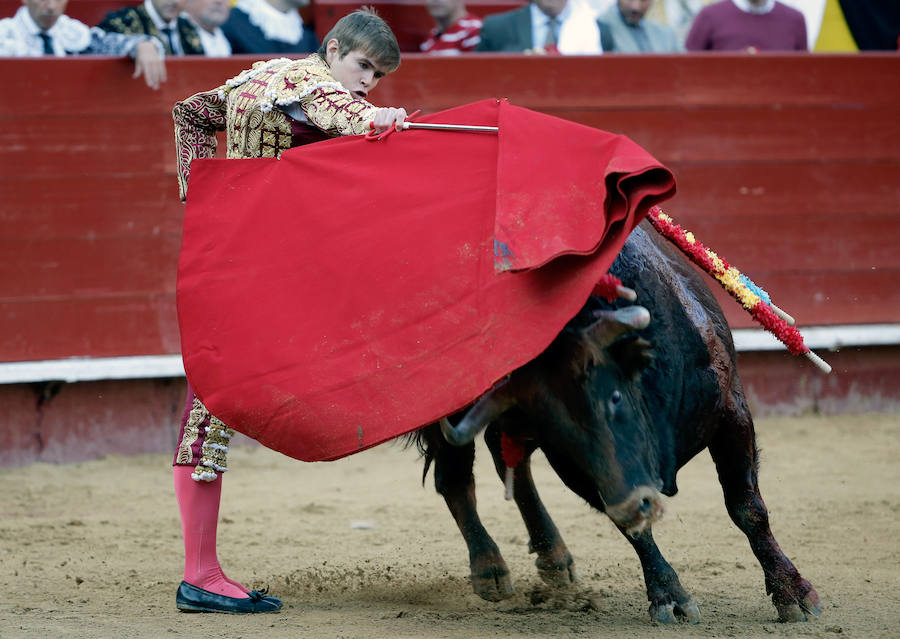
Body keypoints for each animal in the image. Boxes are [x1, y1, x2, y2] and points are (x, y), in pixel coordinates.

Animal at [416, 221, 824, 624]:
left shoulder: (731, 412)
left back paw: (553, 558)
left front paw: (792, 592)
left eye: (614, 397)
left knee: (501, 458)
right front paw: (670, 597)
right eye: (556, 431)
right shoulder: (578, 468)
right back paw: (490, 568)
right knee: (455, 475)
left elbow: (747, 507)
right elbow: (632, 528)